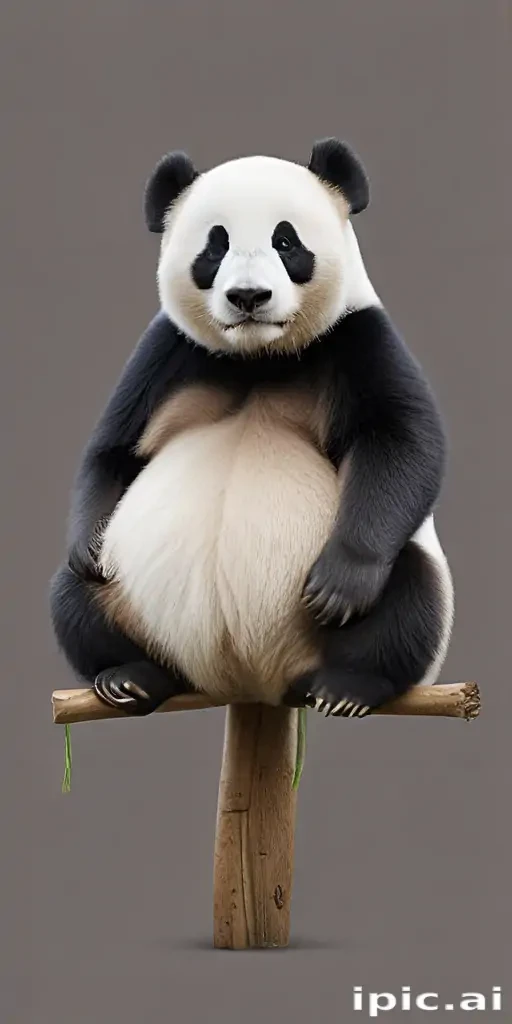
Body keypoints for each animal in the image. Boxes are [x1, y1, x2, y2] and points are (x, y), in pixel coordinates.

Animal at [49, 137, 454, 720]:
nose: (248, 296)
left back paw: (349, 686)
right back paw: (129, 677)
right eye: (214, 246)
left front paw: (339, 587)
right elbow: (113, 449)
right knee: (73, 595)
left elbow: (403, 441)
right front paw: (89, 544)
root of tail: (252, 684)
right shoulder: (168, 352)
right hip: (128, 601)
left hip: (376, 599)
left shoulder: (357, 336)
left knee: (410, 594)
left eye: (285, 241)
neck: (257, 356)